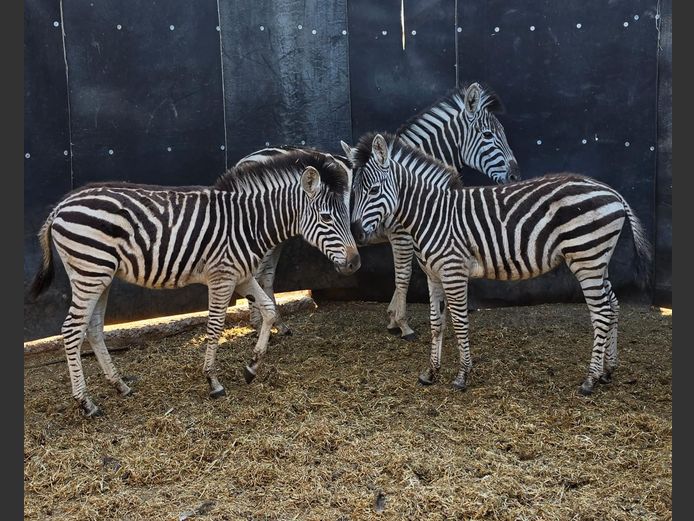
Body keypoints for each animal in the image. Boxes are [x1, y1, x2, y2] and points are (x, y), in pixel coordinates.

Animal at [29, 149, 360, 417]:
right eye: (327, 218)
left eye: (345, 215)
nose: (355, 263)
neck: (249, 222)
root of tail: (61, 206)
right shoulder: (222, 276)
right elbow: (215, 326)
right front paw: (213, 380)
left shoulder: (241, 275)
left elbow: (268, 310)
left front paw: (251, 367)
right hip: (90, 271)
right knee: (72, 330)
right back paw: (86, 403)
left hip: (101, 275)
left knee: (94, 329)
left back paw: (120, 385)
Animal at [348, 132, 652, 395]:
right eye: (352, 192)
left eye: (373, 190)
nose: (357, 234)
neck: (431, 215)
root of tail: (611, 192)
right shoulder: (433, 275)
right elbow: (437, 323)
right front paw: (431, 372)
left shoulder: (454, 272)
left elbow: (460, 322)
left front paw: (462, 375)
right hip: (597, 260)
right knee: (613, 305)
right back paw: (607, 371)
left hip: (586, 257)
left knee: (601, 313)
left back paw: (590, 379)